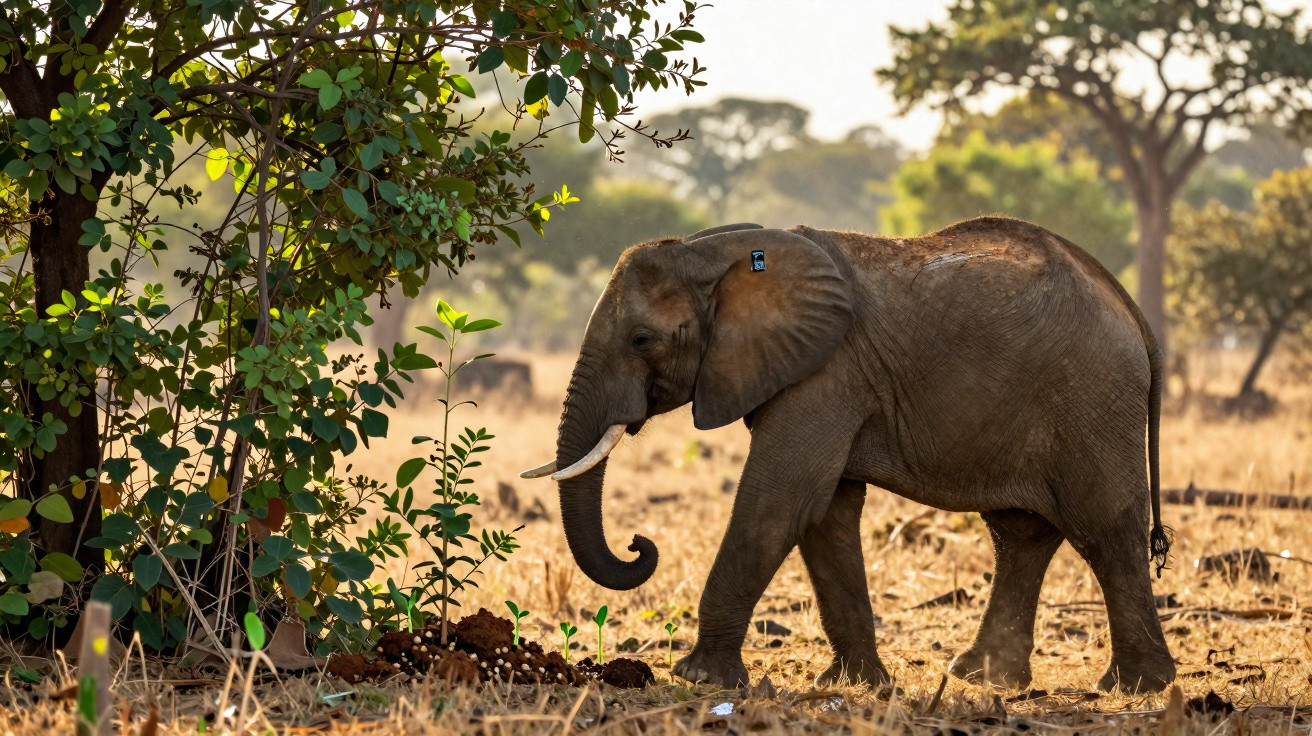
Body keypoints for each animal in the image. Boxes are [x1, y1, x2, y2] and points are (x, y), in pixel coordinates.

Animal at [520, 217, 1175, 694]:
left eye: (642, 340)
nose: (640, 544)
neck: (718, 250)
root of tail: (1136, 316)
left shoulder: (826, 374)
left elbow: (781, 499)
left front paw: (700, 679)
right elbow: (826, 513)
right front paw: (856, 684)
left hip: (1092, 398)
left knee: (1106, 528)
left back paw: (1135, 688)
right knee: (1021, 534)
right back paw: (983, 677)